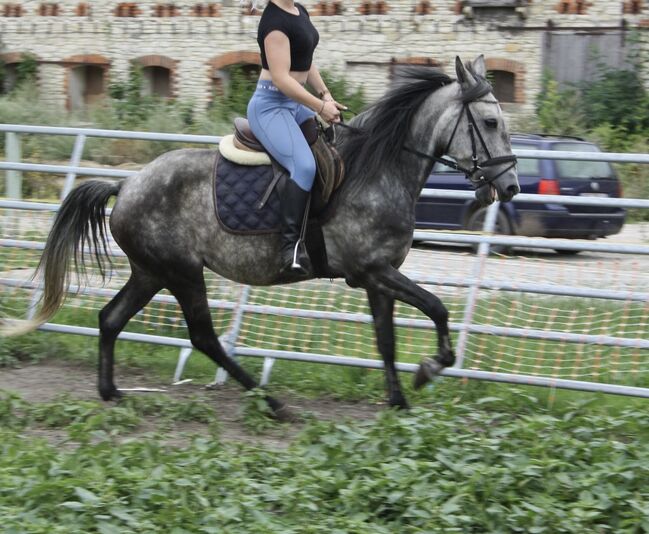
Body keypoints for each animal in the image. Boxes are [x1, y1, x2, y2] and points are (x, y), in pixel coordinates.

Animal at [5, 56, 520, 416]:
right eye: (491, 122)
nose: (512, 186)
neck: (380, 170)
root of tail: (126, 184)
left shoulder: (380, 276)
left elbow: (386, 339)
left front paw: (399, 401)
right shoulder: (372, 270)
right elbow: (436, 307)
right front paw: (430, 369)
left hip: (151, 272)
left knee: (110, 319)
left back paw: (111, 391)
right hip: (182, 272)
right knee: (203, 337)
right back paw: (271, 402)